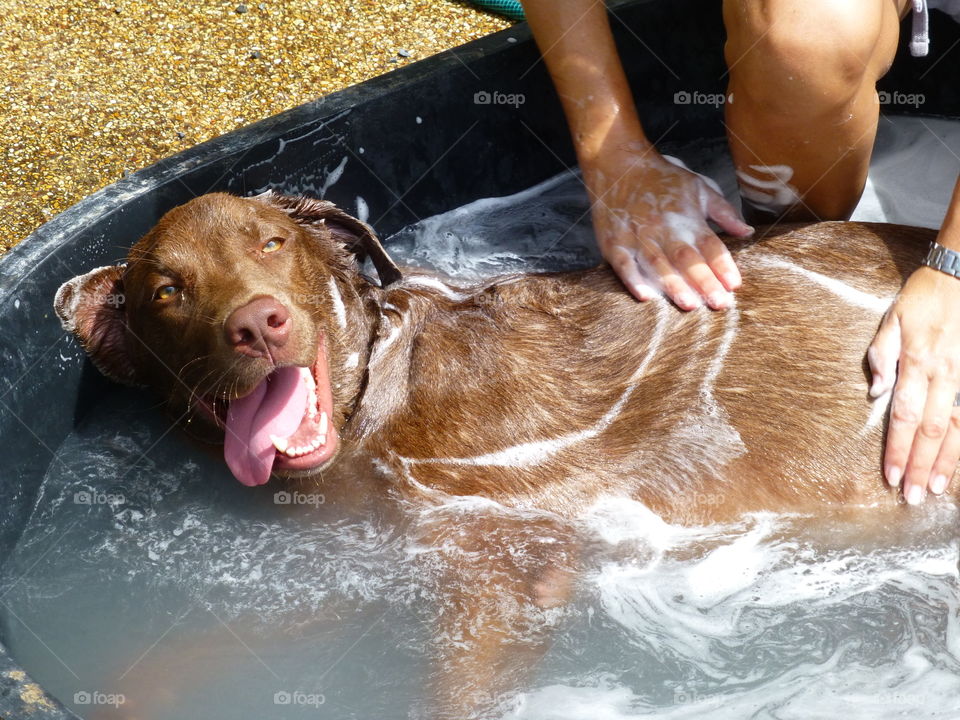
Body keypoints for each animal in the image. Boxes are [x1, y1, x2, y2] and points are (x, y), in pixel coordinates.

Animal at [50, 193, 936, 720]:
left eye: (272, 243)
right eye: (168, 291)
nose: (257, 323)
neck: (375, 402)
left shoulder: (497, 563)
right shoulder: (382, 563)